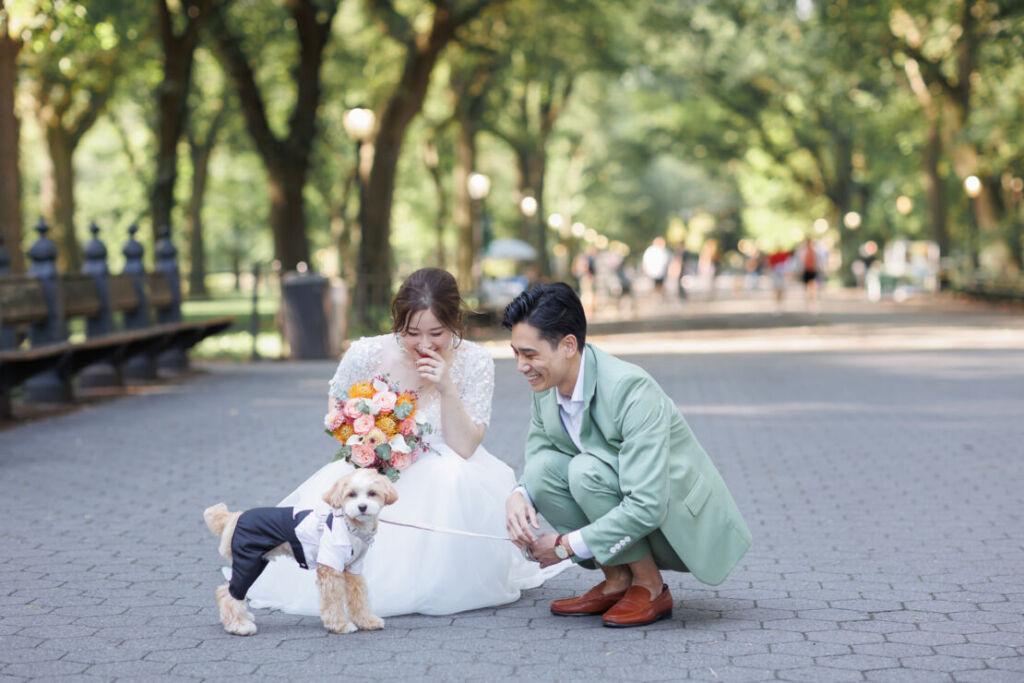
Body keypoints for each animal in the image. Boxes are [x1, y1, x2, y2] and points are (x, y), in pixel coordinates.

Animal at [204, 471, 399, 634]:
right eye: (351, 494)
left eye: (372, 493)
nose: (362, 507)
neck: (350, 526)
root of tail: (235, 517)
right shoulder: (329, 567)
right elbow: (333, 600)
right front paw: (340, 625)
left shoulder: (353, 569)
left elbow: (359, 597)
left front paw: (366, 621)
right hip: (248, 562)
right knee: (231, 594)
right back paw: (239, 626)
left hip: (254, 562)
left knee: (225, 591)